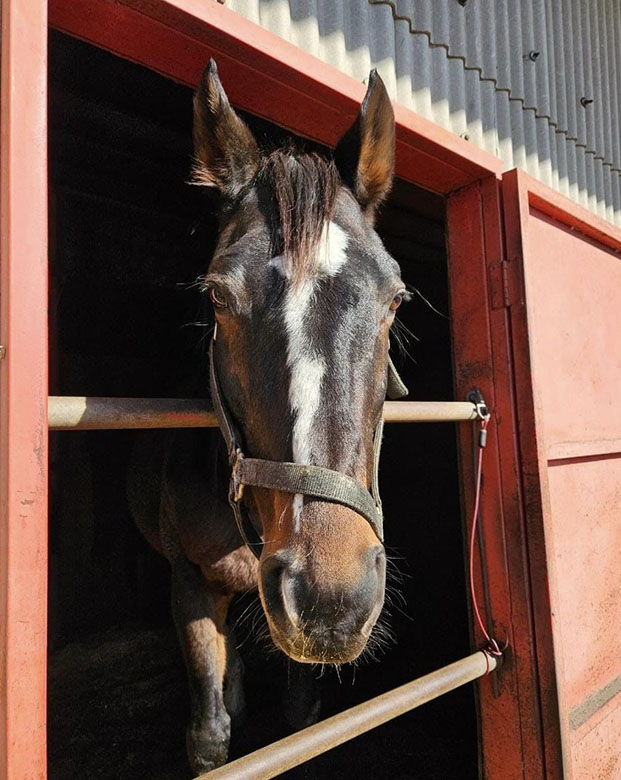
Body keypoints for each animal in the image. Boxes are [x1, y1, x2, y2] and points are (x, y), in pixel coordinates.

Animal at [128, 59, 406, 774]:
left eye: (395, 298)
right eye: (218, 297)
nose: (332, 596)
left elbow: (302, 717)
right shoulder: (190, 585)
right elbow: (210, 737)